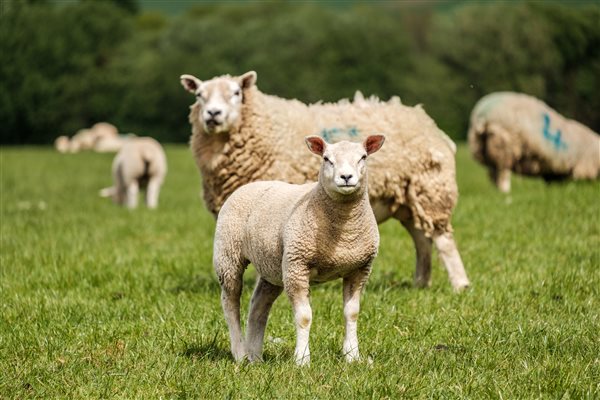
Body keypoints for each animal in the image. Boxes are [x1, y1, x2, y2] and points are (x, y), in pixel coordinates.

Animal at [180, 71, 472, 290]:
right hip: (408, 199)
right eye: (199, 95)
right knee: (422, 239)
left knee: (442, 239)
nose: (213, 114)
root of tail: (426, 121)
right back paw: (421, 283)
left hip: (431, 188)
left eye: (236, 93)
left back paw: (460, 285)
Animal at [216, 135, 384, 366]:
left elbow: (352, 313)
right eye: (326, 159)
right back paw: (240, 354)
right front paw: (302, 359)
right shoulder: (297, 266)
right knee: (230, 302)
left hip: (274, 267)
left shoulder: (359, 268)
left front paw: (352, 356)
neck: (343, 233)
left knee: (258, 306)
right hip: (228, 255)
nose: (346, 177)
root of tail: (249, 185)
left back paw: (256, 358)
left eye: (363, 157)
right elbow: (304, 317)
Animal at [468, 92, 600, 192]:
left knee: (493, 173)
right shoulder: (582, 168)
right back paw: (505, 191)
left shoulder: (555, 173)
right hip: (503, 144)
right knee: (502, 172)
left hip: (484, 148)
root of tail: (482, 115)